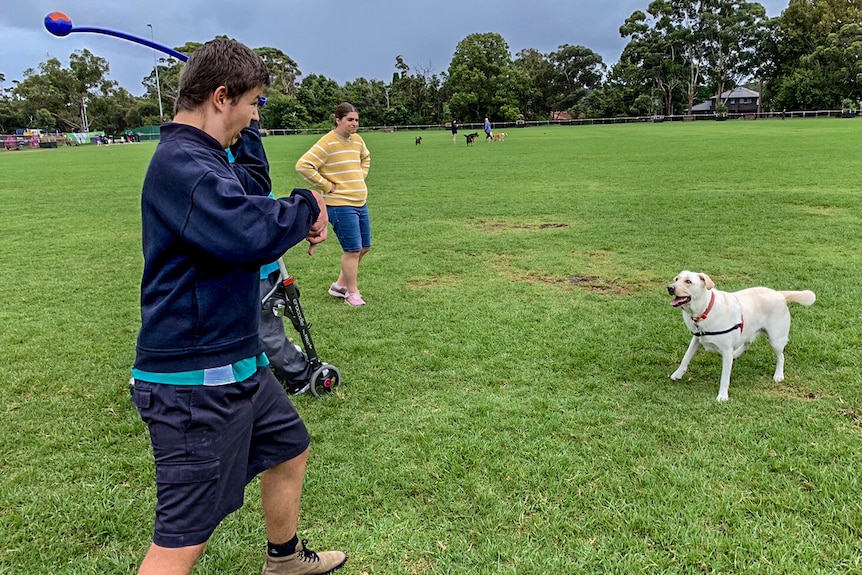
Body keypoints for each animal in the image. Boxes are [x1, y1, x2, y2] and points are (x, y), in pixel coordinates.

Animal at [668, 272, 816, 402]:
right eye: (676, 279)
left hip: (776, 339)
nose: (670, 288)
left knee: (781, 356)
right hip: (749, 330)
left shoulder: (726, 350)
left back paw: (778, 375)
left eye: (688, 281)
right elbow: (686, 357)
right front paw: (678, 373)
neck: (705, 310)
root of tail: (779, 294)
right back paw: (736, 354)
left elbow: (724, 377)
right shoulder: (697, 339)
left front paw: (723, 395)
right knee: (747, 343)